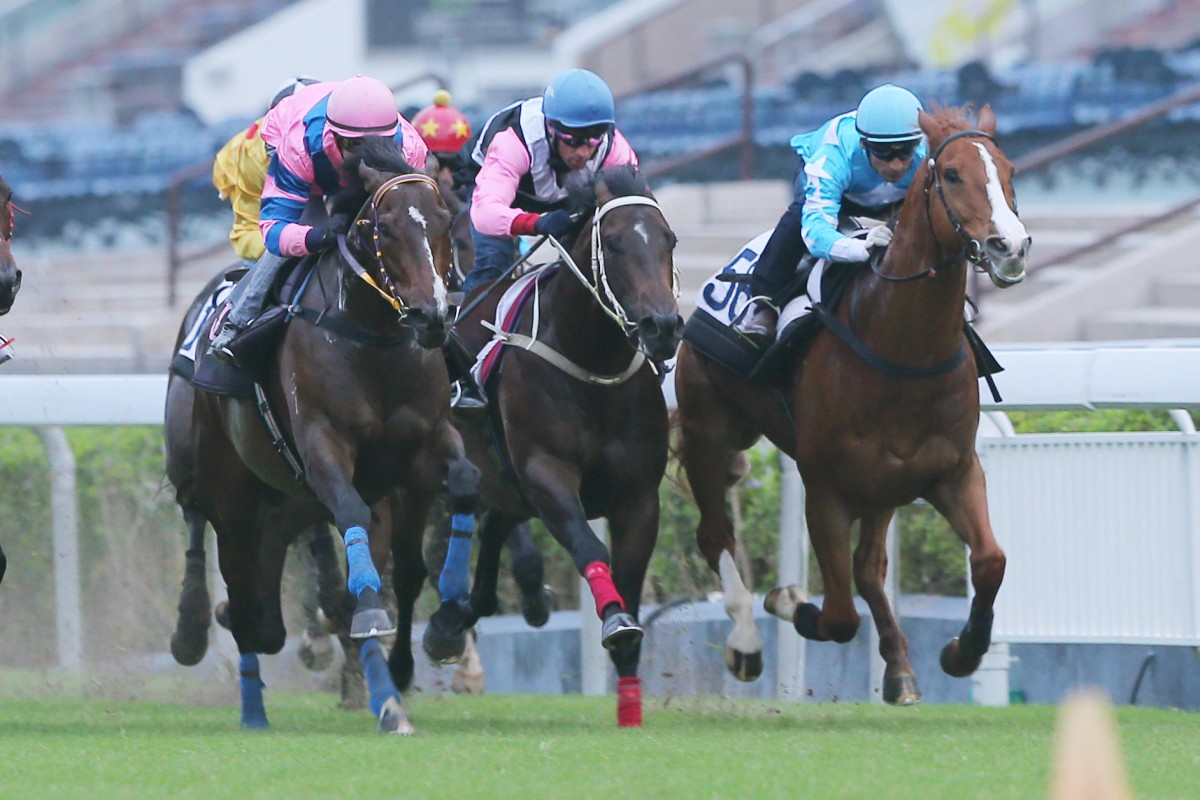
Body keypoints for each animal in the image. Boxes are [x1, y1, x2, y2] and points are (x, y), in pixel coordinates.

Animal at [169, 137, 477, 734]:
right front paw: (374, 623)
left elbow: (460, 491)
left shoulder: (426, 448)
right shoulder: (323, 447)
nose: (431, 317)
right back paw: (237, 687)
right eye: (385, 228)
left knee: (270, 596)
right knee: (234, 579)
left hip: (284, 502)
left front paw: (447, 624)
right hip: (222, 483)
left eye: (445, 221)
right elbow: (355, 531)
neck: (374, 341)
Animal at [424, 164, 686, 724]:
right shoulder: (547, 475)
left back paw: (453, 621)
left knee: (492, 535)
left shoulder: (639, 497)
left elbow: (631, 577)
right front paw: (615, 620)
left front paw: (630, 705)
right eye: (613, 243)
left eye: (669, 240)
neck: (592, 364)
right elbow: (590, 548)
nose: (662, 326)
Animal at [676, 107, 1032, 705]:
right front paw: (790, 600)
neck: (902, 350)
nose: (1011, 247)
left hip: (884, 483)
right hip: (709, 430)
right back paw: (746, 643)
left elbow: (990, 561)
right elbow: (839, 616)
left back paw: (899, 668)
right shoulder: (824, 486)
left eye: (1008, 171)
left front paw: (962, 652)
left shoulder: (953, 471)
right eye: (952, 175)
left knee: (868, 568)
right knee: (716, 535)